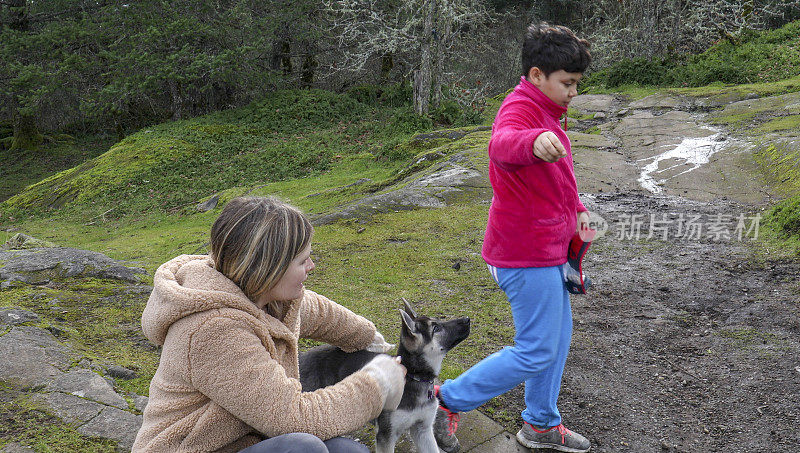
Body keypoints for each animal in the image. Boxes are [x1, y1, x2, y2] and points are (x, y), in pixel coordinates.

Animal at [300, 300, 468, 452]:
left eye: (438, 322)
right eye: (436, 328)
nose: (467, 319)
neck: (414, 376)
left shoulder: (423, 429)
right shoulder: (386, 435)